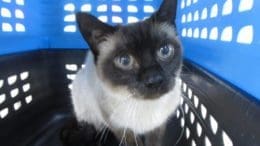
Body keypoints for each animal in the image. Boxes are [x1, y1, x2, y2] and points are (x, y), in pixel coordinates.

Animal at [69, 0, 183, 145]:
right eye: (125, 60)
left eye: (165, 51)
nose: (154, 79)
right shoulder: (120, 127)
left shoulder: (159, 125)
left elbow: (154, 142)